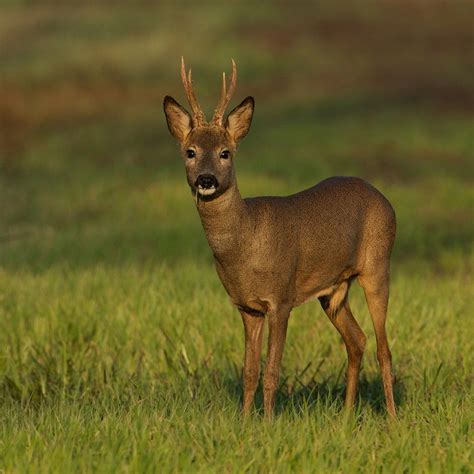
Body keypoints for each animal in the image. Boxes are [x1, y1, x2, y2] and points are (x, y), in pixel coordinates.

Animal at [163, 59, 396, 418]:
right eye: (190, 152)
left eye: (225, 153)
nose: (206, 179)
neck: (245, 241)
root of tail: (384, 199)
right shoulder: (246, 306)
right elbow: (249, 371)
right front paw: (245, 421)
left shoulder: (281, 298)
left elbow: (272, 371)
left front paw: (269, 422)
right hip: (333, 291)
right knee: (357, 340)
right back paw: (345, 417)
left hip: (377, 266)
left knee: (384, 348)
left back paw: (394, 420)